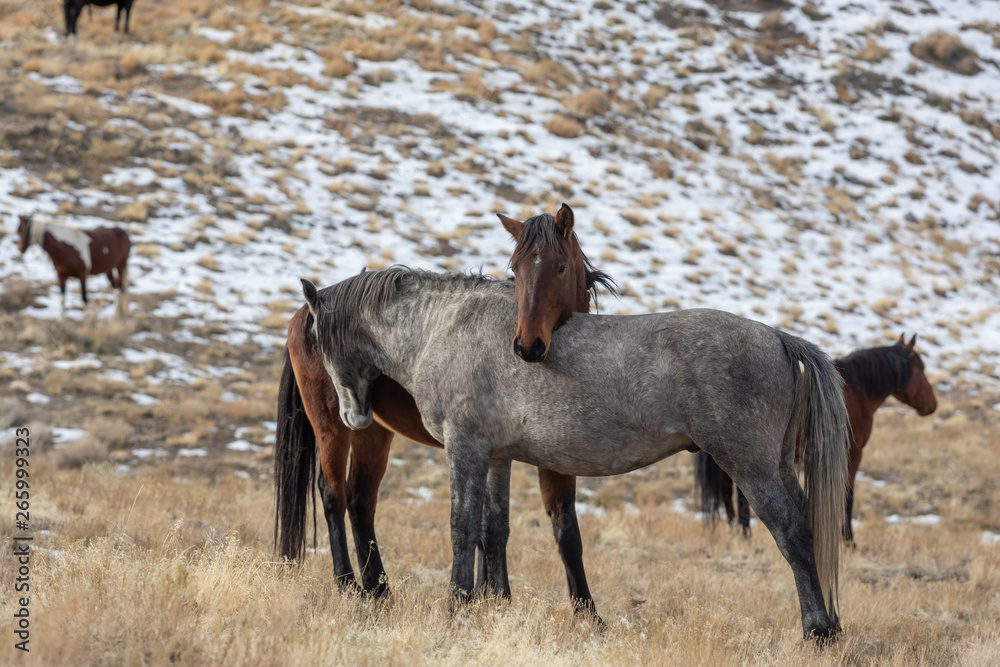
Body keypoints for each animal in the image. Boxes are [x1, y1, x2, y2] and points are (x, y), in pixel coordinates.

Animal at [274, 207, 616, 619]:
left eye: (560, 267)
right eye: (515, 269)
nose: (528, 345)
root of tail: (305, 312)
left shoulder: (503, 451)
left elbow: (503, 526)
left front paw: (493, 595)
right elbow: (545, 529)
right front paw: (581, 613)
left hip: (372, 429)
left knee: (360, 499)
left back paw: (379, 588)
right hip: (333, 424)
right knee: (333, 494)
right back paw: (348, 585)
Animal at [302, 267, 850, 640]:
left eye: (318, 340)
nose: (354, 416)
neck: (447, 327)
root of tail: (776, 337)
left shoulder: (465, 449)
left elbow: (461, 528)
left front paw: (456, 605)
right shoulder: (496, 457)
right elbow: (492, 531)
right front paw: (492, 605)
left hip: (750, 465)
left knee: (793, 533)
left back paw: (817, 631)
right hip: (777, 465)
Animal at [695, 335, 936, 543]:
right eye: (921, 368)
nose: (933, 405)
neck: (854, 392)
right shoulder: (853, 454)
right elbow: (847, 497)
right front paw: (848, 540)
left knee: (728, 493)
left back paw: (736, 531)